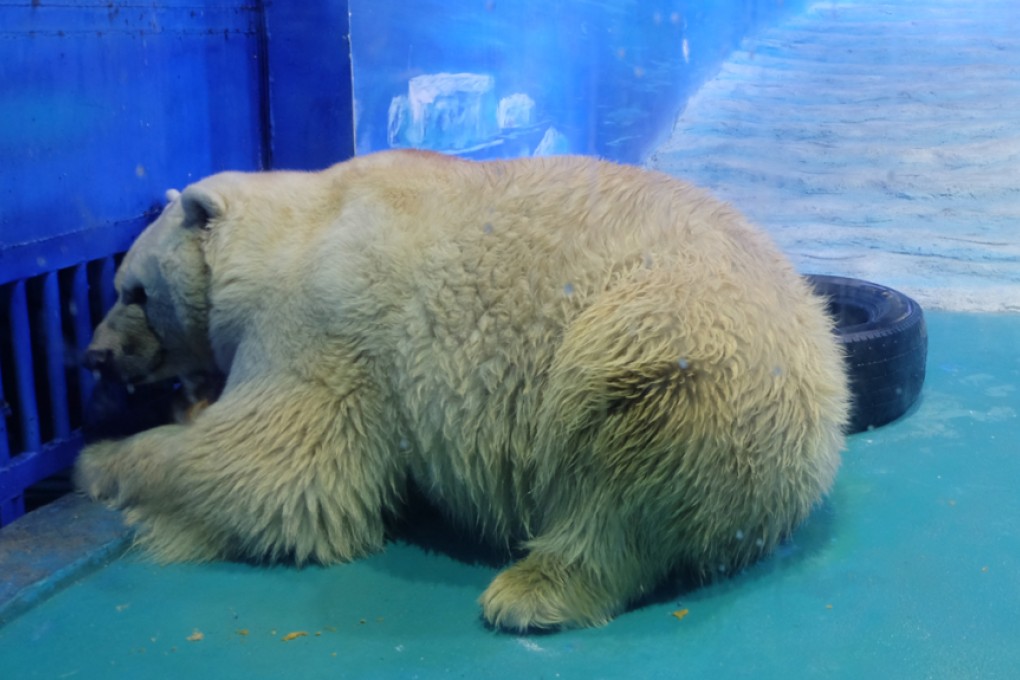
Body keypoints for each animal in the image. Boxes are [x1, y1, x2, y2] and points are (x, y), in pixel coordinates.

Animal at [76, 149, 849, 631]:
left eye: (132, 290)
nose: (95, 356)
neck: (302, 227)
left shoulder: (323, 322)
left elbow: (273, 469)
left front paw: (102, 462)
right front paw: (182, 406)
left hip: (670, 337)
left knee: (620, 449)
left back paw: (529, 591)